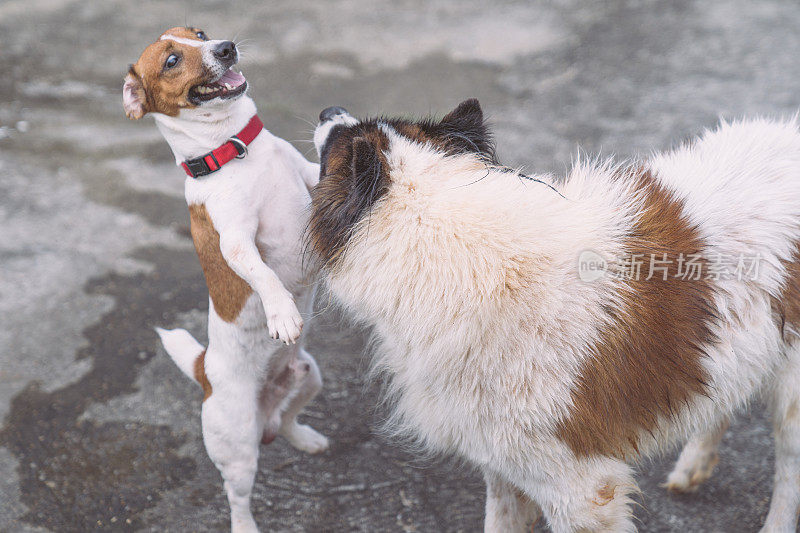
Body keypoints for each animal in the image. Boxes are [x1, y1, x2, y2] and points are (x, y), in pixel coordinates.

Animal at [122, 28, 328, 532]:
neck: (234, 147)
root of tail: (204, 371)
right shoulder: (236, 240)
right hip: (236, 447)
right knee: (238, 497)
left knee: (290, 419)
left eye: (198, 33)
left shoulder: (309, 177)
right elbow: (262, 273)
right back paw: (245, 524)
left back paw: (305, 438)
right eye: (172, 60)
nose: (225, 48)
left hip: (310, 377)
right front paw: (281, 313)